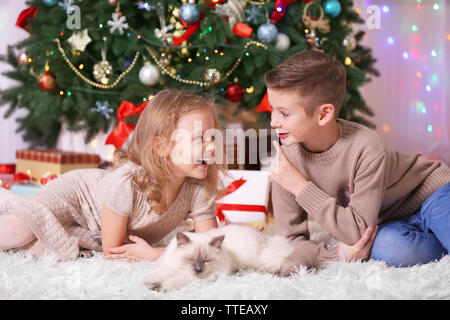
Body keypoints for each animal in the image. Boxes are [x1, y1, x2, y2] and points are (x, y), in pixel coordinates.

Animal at [145, 224, 298, 292]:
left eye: (206, 261)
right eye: (191, 260)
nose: (198, 270)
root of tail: (267, 237)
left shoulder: (194, 279)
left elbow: (173, 281)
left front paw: (162, 288)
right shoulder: (167, 268)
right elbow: (157, 276)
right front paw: (150, 285)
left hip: (261, 262)